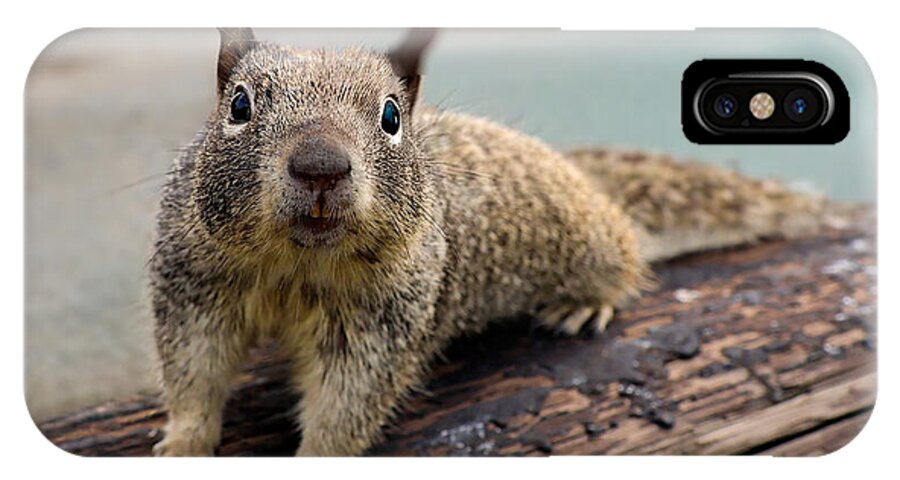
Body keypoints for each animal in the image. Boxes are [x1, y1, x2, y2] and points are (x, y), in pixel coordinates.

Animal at [150, 28, 824, 456]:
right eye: (239, 105)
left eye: (391, 117)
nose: (320, 166)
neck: (298, 263)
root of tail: (581, 176)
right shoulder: (195, 287)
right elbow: (194, 374)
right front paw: (182, 445)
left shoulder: (382, 323)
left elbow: (347, 404)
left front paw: (316, 457)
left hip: (591, 240)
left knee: (625, 252)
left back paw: (586, 301)